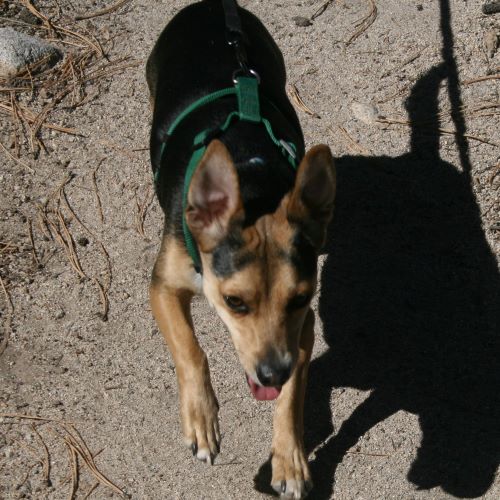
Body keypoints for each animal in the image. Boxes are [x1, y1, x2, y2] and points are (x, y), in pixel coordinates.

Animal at [146, 1, 338, 498]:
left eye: (300, 298)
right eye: (234, 303)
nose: (271, 374)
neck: (253, 183)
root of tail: (215, 5)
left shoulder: (303, 330)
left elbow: (292, 399)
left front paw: (290, 461)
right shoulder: (163, 286)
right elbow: (189, 347)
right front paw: (201, 418)